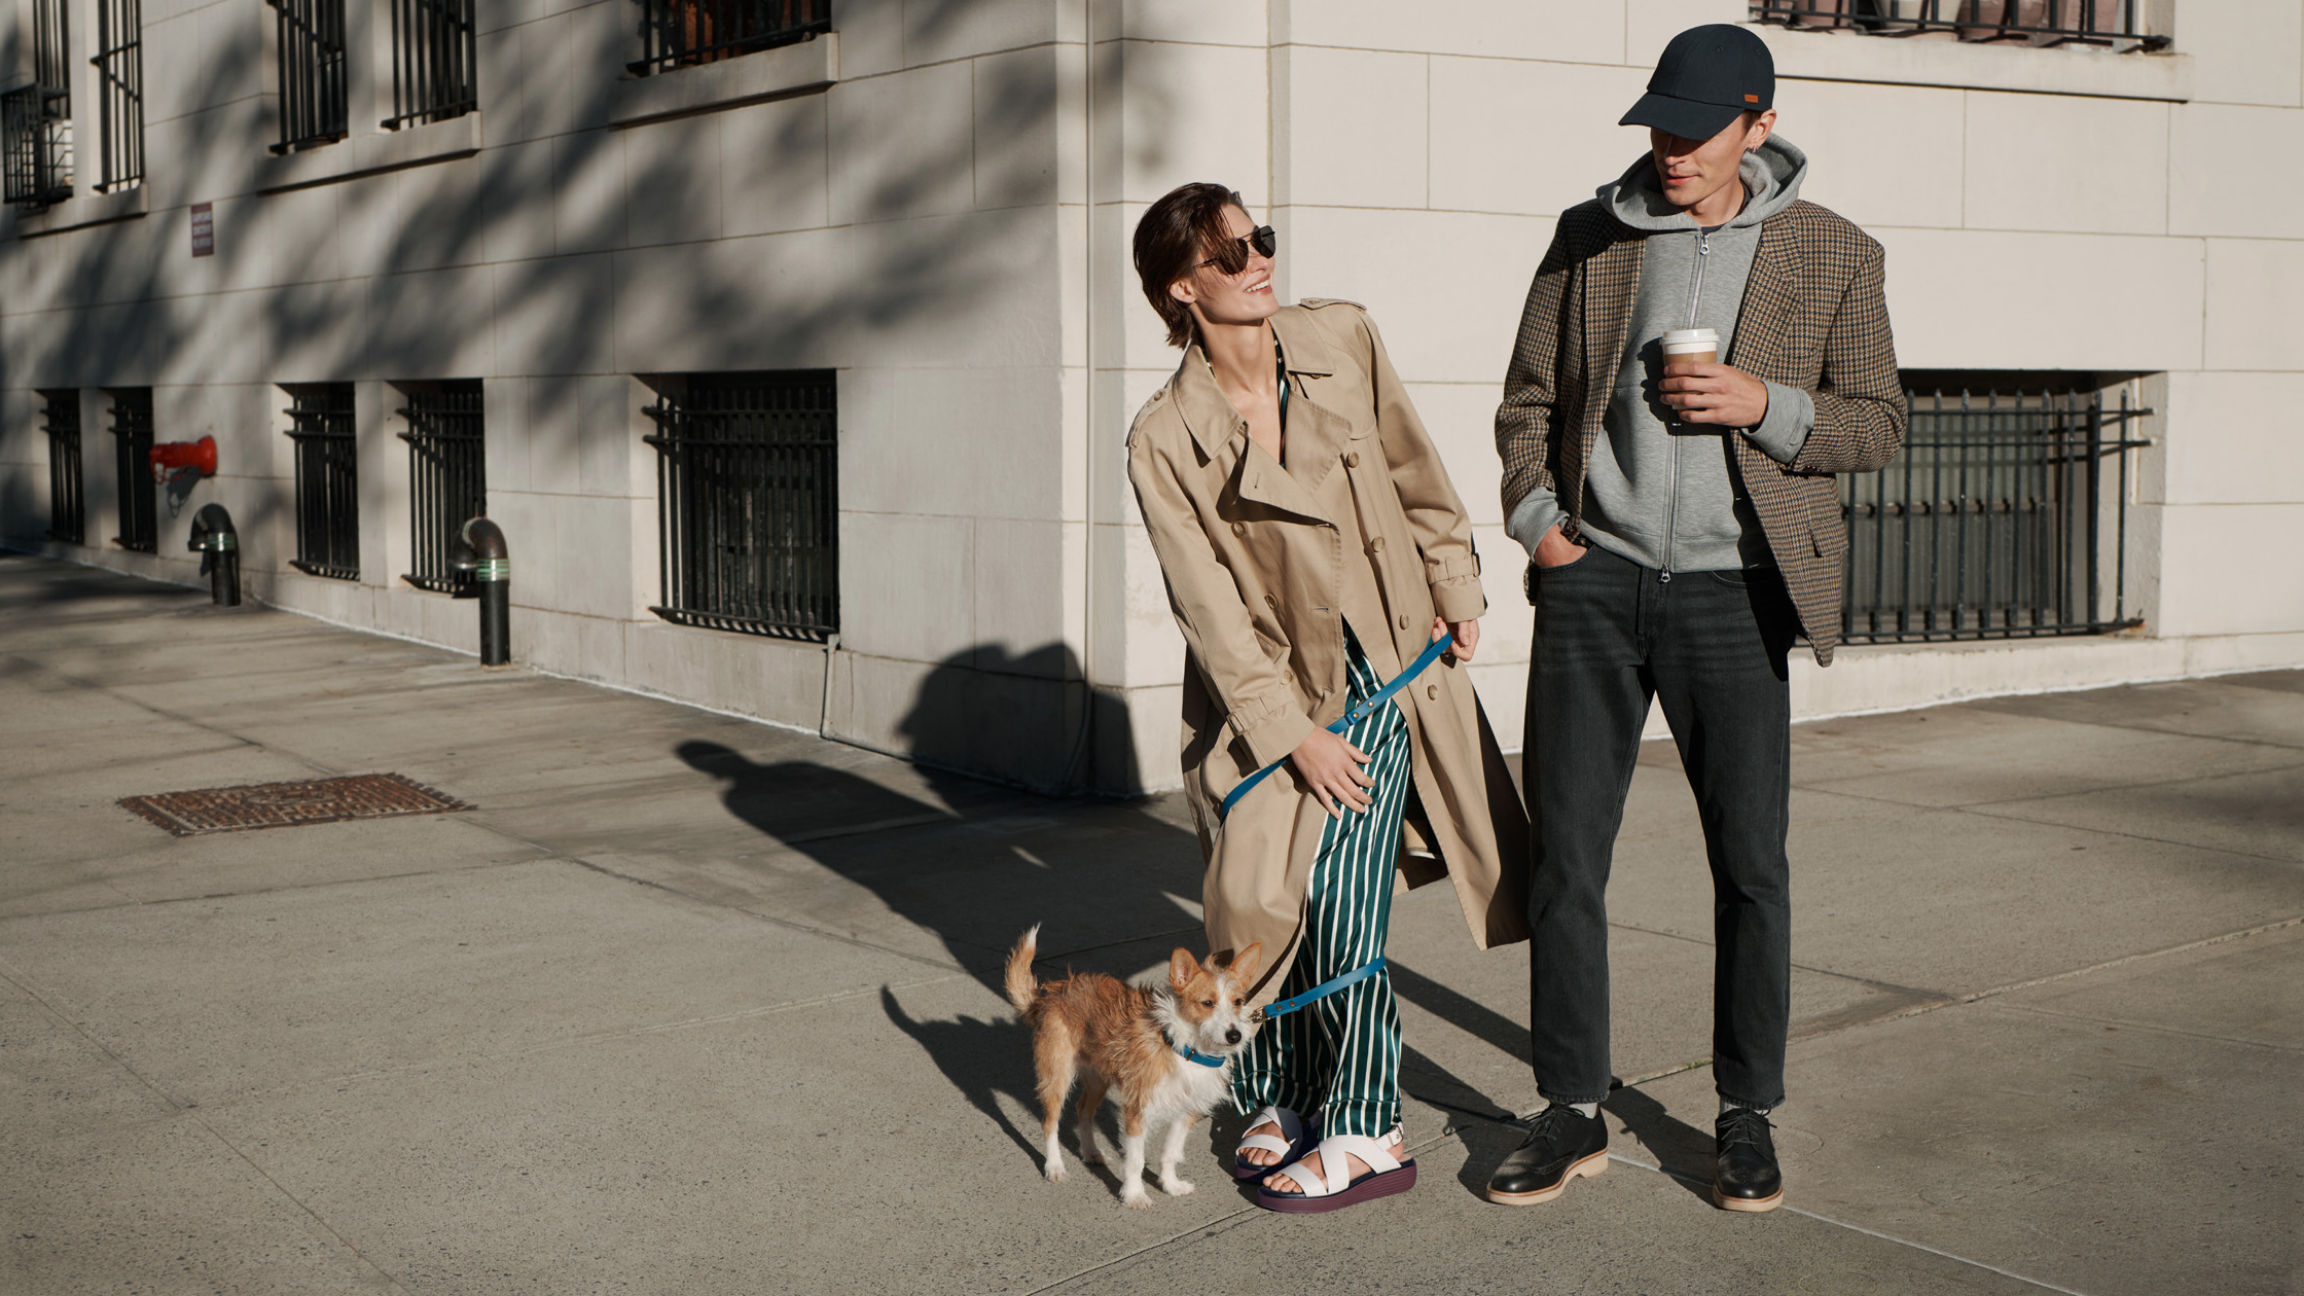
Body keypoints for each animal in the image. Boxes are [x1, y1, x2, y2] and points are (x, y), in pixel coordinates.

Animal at [1004, 917, 1271, 1199]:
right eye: (1208, 1003)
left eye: (1238, 1002)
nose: (1235, 1035)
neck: (1185, 1049)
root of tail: (1049, 997)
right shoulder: (1136, 1109)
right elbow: (1135, 1159)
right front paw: (1134, 1195)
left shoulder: (1185, 1110)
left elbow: (1170, 1153)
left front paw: (1170, 1184)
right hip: (1057, 1076)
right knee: (1050, 1122)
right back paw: (1054, 1166)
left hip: (1098, 1078)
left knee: (1083, 1110)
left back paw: (1090, 1152)